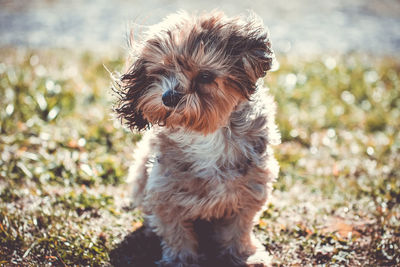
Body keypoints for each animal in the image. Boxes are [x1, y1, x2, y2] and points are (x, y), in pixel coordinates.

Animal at [114, 11, 280, 267]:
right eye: (162, 70)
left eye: (205, 76)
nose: (169, 97)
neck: (206, 135)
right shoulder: (164, 193)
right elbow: (176, 233)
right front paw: (180, 260)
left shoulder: (251, 188)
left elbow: (239, 228)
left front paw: (244, 255)